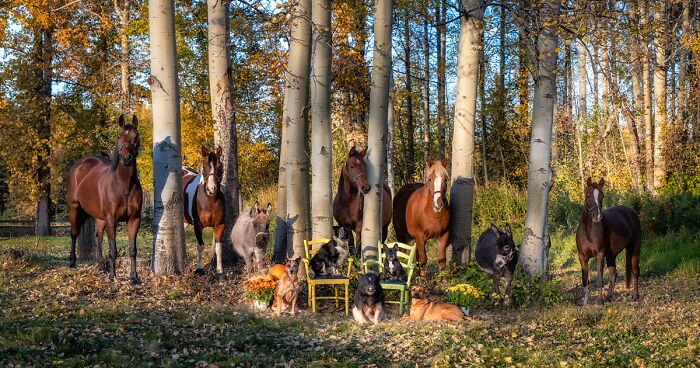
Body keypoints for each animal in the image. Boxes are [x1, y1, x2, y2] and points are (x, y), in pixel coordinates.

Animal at [66, 115, 142, 284]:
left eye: (136, 137)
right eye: (119, 136)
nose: (126, 158)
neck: (123, 185)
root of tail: (80, 164)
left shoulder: (134, 219)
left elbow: (133, 249)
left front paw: (134, 278)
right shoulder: (111, 219)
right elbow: (113, 249)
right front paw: (113, 277)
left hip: (99, 217)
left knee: (97, 238)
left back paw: (101, 265)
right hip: (74, 208)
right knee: (74, 234)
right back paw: (72, 263)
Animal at [182, 147, 226, 278]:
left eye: (220, 166)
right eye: (203, 166)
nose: (211, 189)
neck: (209, 201)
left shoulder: (220, 225)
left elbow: (218, 247)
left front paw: (220, 272)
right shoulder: (197, 225)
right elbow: (200, 246)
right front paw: (199, 269)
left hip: (185, 221)